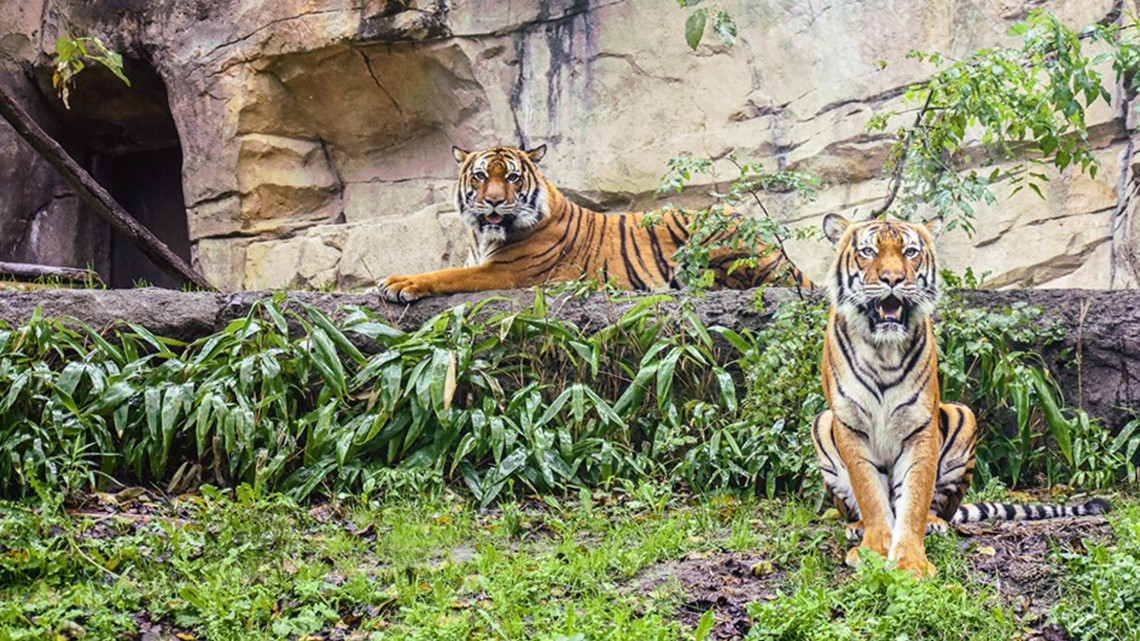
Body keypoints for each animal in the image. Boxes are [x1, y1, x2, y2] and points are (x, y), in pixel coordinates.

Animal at [378, 145, 812, 302]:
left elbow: (445, 274)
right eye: (481, 176)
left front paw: (398, 284)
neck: (482, 237)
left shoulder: (508, 272)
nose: (494, 201)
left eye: (513, 177)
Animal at [810, 213, 1110, 579]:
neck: (883, 350)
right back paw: (856, 527)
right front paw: (873, 549)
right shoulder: (850, 424)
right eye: (868, 251)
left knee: (939, 509)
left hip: (962, 415)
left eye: (910, 252)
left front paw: (910, 562)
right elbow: (869, 494)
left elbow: (914, 496)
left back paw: (934, 523)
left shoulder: (920, 426)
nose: (893, 279)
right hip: (821, 423)